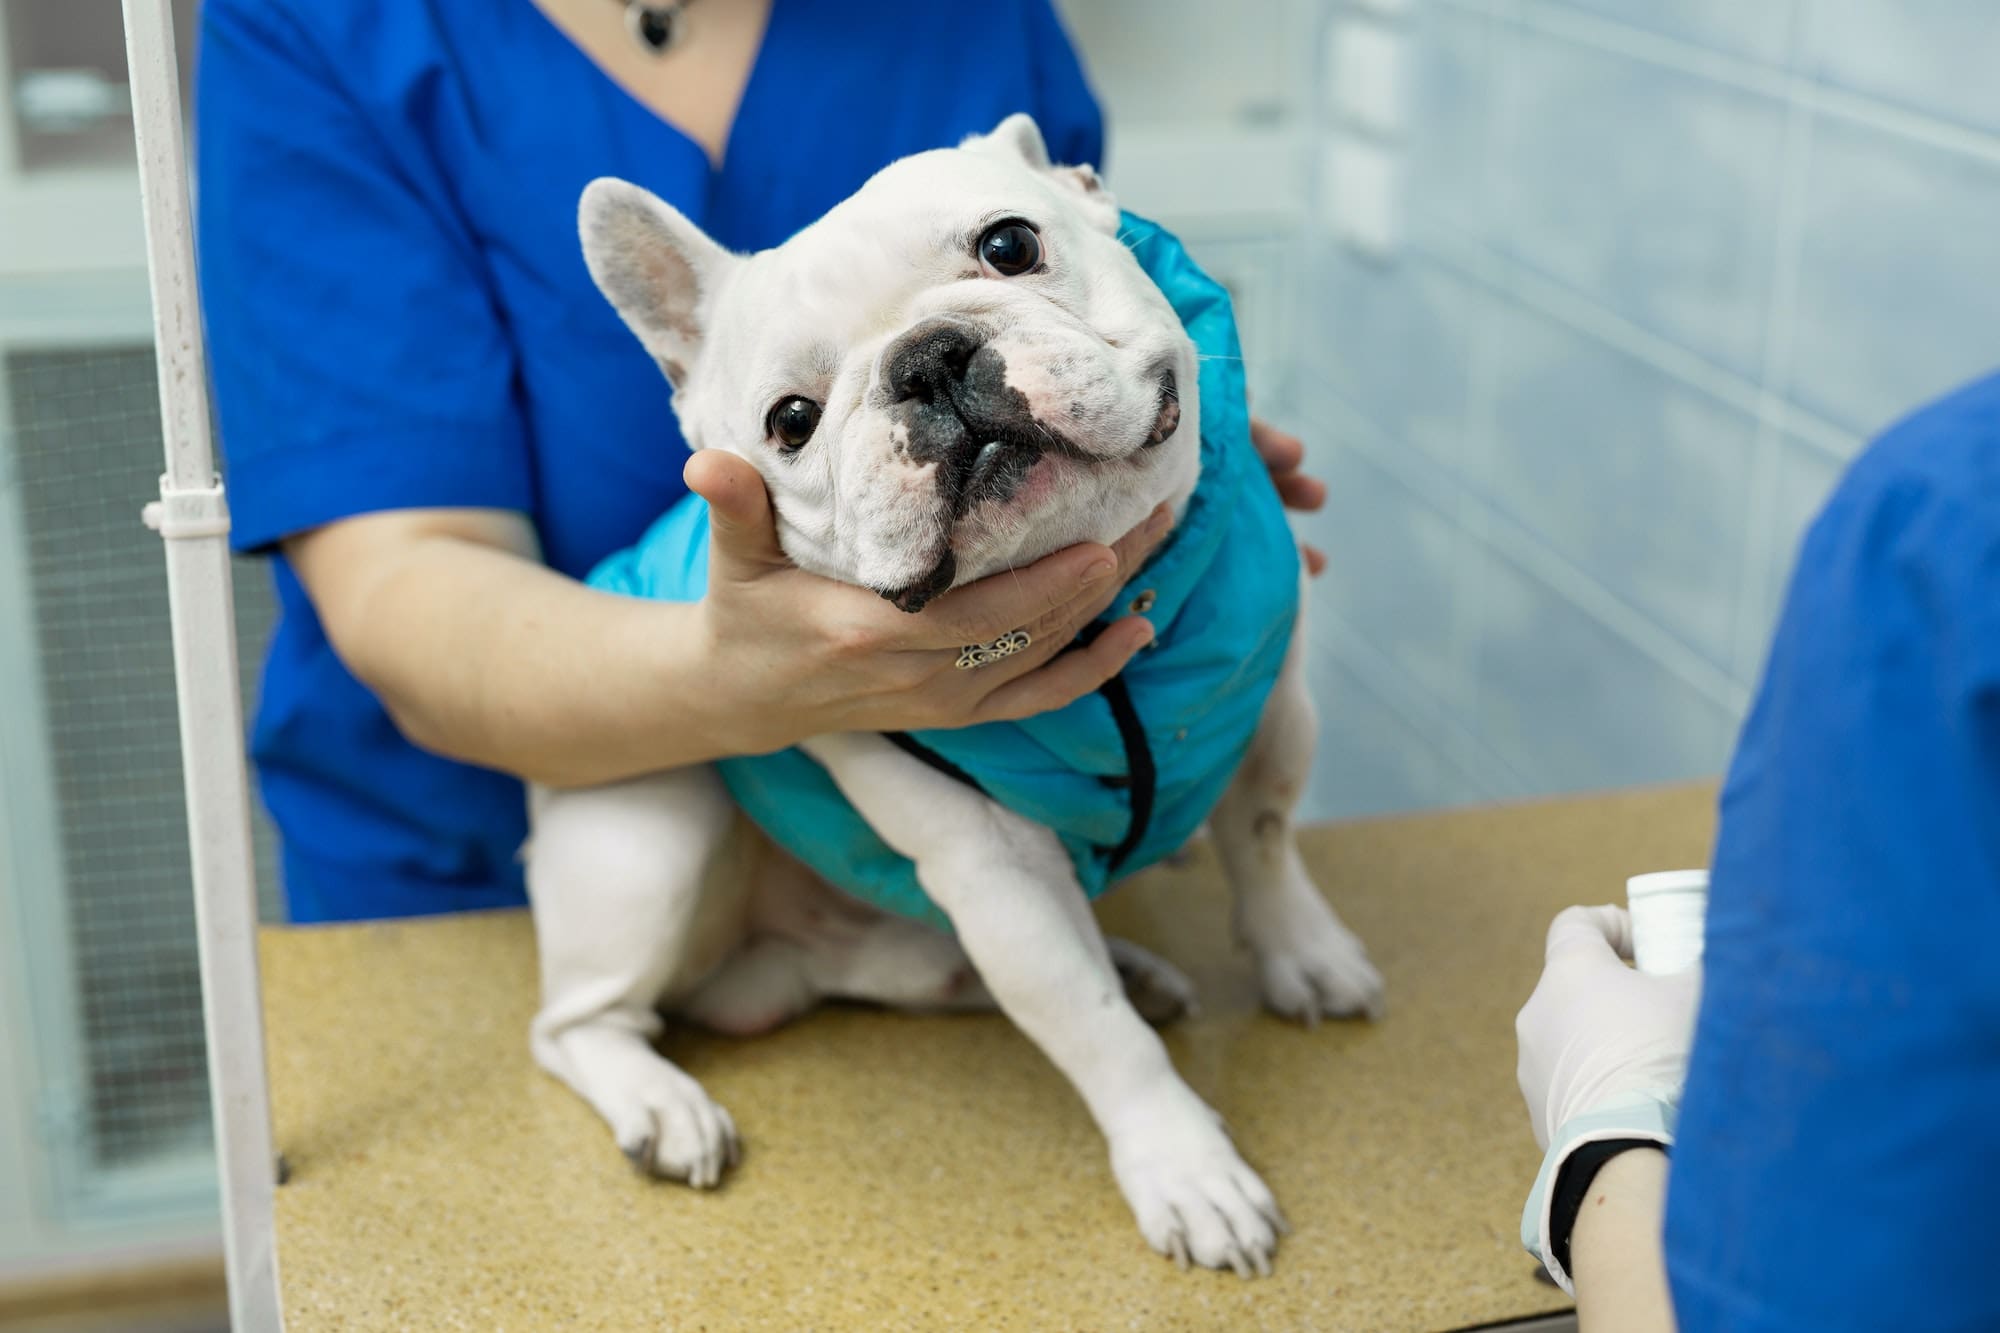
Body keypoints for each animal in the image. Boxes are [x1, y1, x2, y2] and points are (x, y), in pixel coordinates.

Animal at [524, 111, 1384, 1264]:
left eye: (1009, 245)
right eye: (789, 420)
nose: (924, 361)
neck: (1107, 634)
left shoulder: (1271, 703)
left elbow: (1266, 838)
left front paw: (1304, 951)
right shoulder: (993, 870)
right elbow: (1091, 1027)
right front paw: (1185, 1165)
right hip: (656, 825)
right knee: (575, 1024)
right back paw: (660, 1103)